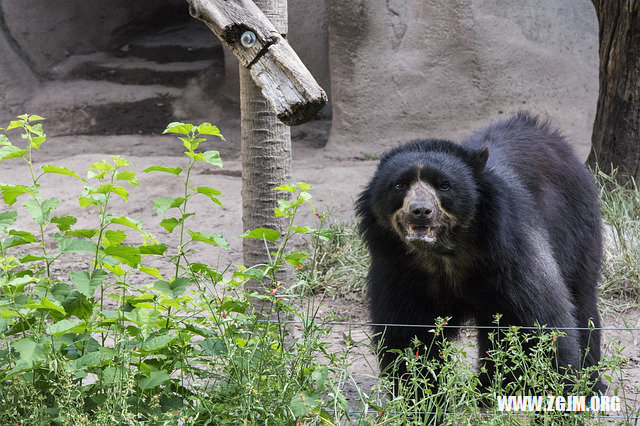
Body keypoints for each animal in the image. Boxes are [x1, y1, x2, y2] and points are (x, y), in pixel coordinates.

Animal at [356, 112, 604, 392]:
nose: (420, 211)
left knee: (581, 298)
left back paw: (592, 384)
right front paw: (419, 394)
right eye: (399, 185)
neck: (443, 254)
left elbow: (536, 322)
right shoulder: (398, 268)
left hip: (576, 227)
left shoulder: (511, 251)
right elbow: (408, 333)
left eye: (444, 186)